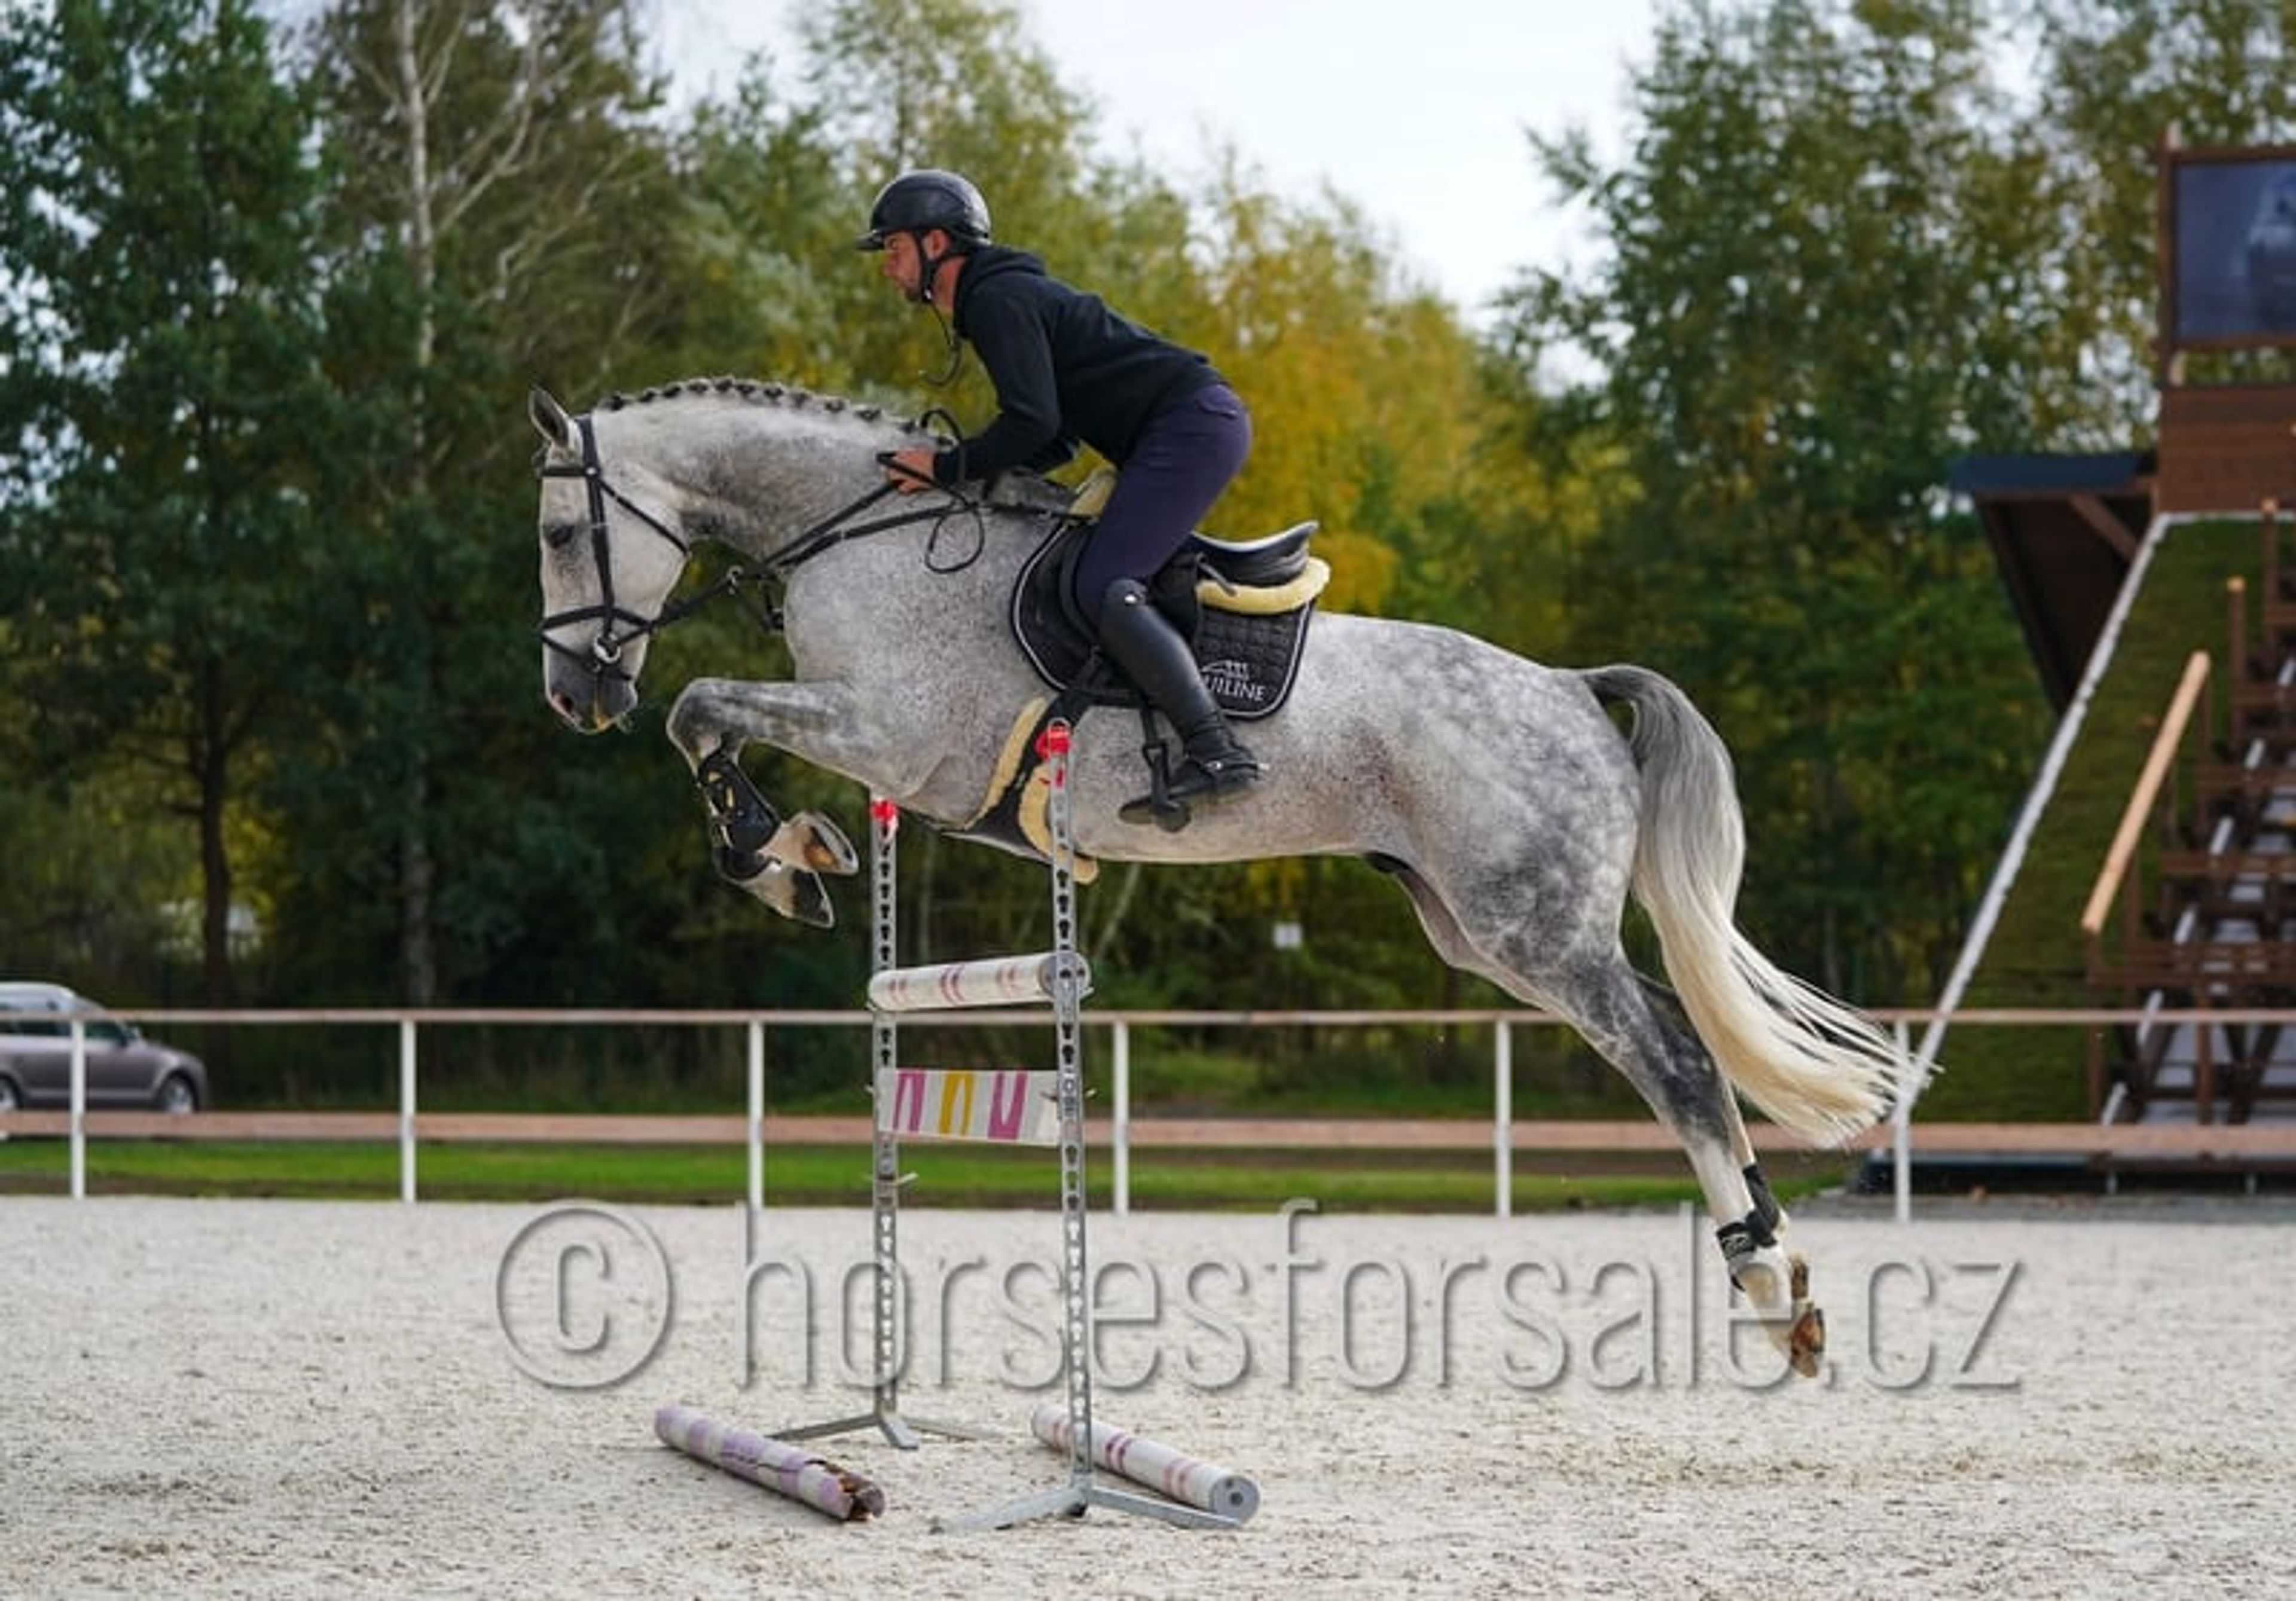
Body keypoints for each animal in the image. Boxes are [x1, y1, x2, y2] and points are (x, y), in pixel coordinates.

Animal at [529, 376, 1915, 1376]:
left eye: (556, 531)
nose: (575, 697)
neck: (864, 540)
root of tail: (1575, 689)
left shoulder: (894, 742)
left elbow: (701, 709)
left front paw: (779, 857)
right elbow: (707, 719)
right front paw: (793, 856)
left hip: (1540, 934)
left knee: (1678, 1058)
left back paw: (1768, 1280)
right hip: (1476, 931)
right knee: (1679, 1050)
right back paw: (1778, 1282)